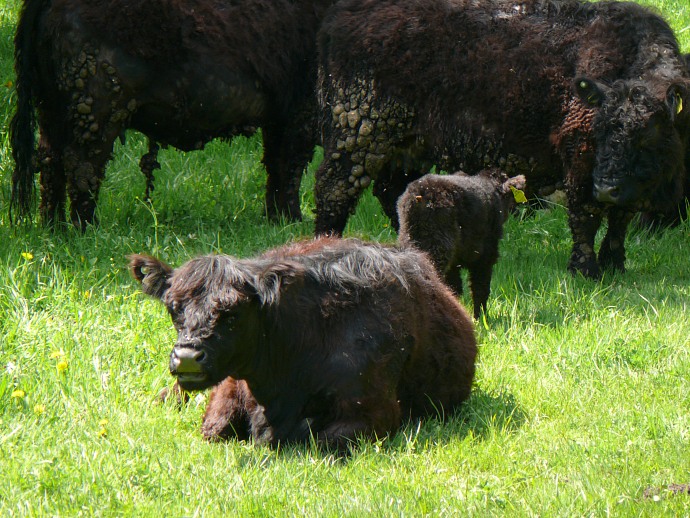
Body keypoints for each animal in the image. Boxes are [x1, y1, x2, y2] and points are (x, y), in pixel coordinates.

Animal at [129, 238, 476, 448]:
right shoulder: (227, 393)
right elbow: (213, 428)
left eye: (233, 313)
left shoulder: (374, 412)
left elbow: (322, 441)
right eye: (173, 308)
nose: (187, 357)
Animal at [396, 169, 524, 318]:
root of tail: (420, 194)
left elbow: (455, 288)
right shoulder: (485, 255)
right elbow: (480, 288)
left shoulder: (454, 263)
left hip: (410, 240)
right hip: (438, 246)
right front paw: (480, 317)